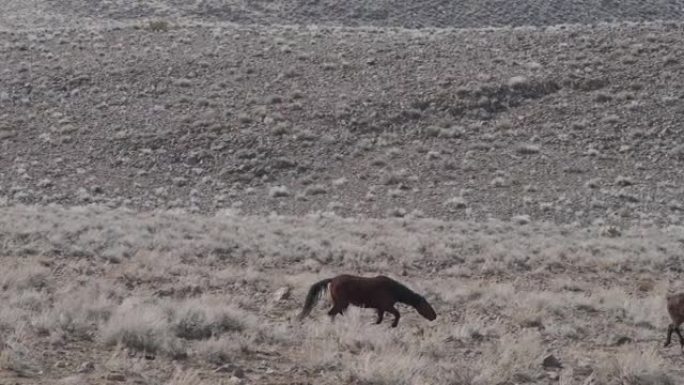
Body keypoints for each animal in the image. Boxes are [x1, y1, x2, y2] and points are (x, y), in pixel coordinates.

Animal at [296, 272, 436, 328]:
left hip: (342, 303)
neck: (393, 289)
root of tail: (333, 279)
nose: (434, 316)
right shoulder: (387, 306)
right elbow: (397, 314)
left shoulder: (380, 308)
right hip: (341, 302)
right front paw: (393, 325)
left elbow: (379, 319)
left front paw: (374, 324)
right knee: (331, 314)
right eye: (426, 306)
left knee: (338, 313)